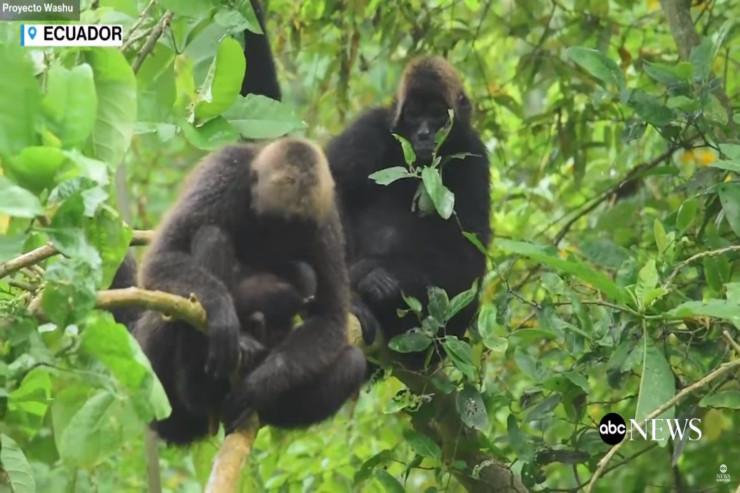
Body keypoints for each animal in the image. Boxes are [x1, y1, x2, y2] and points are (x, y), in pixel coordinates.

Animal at [135, 137, 368, 442]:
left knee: (352, 362)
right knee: (211, 235)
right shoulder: (225, 173)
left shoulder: (324, 218)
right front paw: (222, 313)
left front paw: (257, 386)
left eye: (295, 230)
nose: (276, 248)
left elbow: (329, 319)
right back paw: (203, 383)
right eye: (271, 224)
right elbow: (161, 257)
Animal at [326, 55, 492, 368]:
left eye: (438, 116)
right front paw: (359, 281)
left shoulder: (474, 155)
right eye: (413, 115)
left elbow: (469, 257)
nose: (424, 133)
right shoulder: (371, 127)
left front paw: (378, 274)